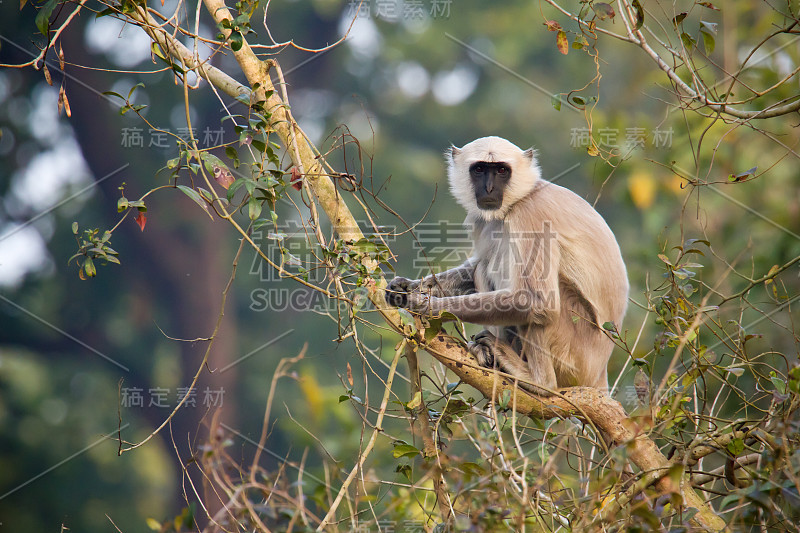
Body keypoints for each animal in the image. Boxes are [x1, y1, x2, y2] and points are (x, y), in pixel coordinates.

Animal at [384, 136, 628, 394]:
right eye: (480, 169)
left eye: (501, 170)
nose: (489, 188)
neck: (523, 196)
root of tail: (598, 374)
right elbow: (476, 265)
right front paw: (405, 287)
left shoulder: (531, 215)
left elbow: (539, 301)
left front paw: (424, 306)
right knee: (483, 268)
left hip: (574, 355)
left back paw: (539, 382)